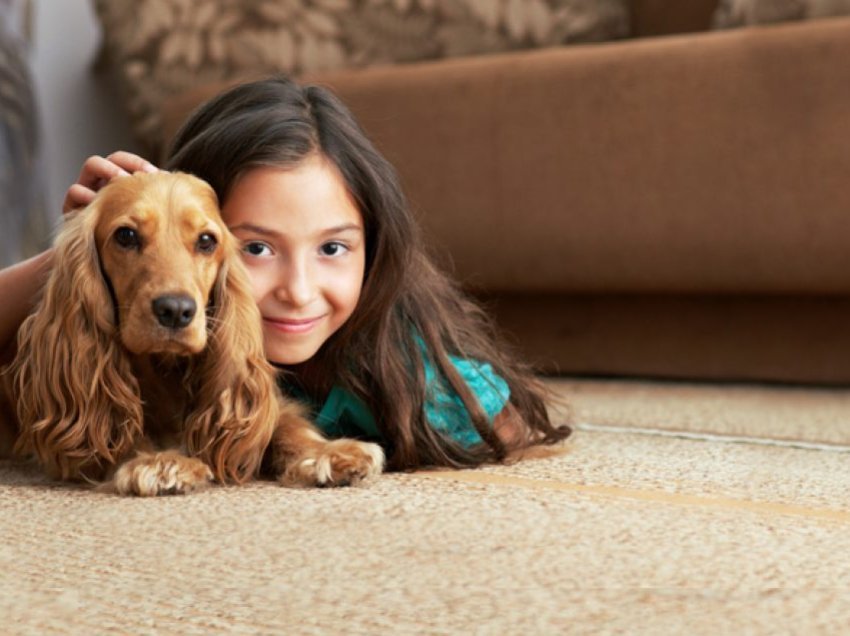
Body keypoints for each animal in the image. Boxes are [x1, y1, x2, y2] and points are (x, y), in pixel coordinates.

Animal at [0, 171, 380, 494]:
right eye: (126, 235)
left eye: (207, 241)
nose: (176, 310)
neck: (165, 370)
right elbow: (119, 430)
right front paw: (162, 462)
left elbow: (285, 424)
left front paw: (327, 453)